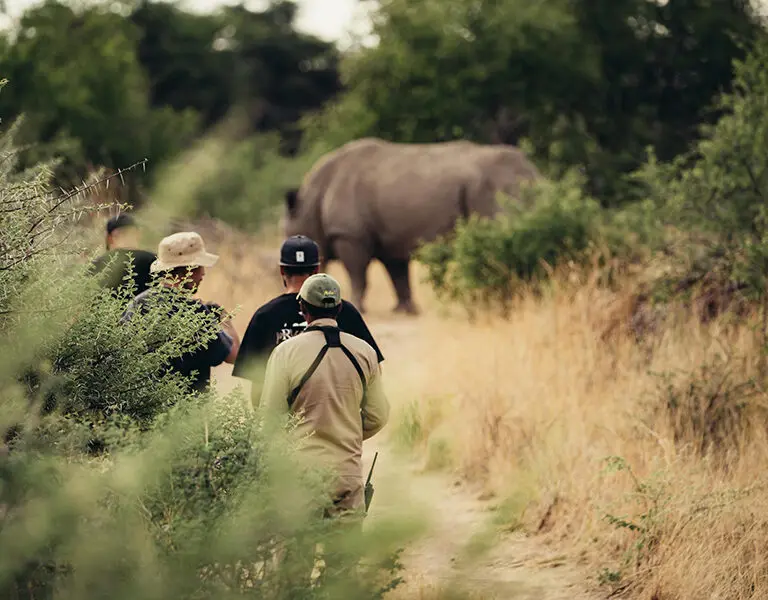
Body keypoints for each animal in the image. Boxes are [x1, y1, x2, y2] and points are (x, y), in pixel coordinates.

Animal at [283, 137, 540, 314]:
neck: (311, 201)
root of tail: (534, 173)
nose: (285, 285)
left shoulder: (349, 234)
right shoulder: (390, 238)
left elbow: (358, 273)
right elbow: (398, 274)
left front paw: (357, 305)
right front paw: (405, 310)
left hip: (497, 185)